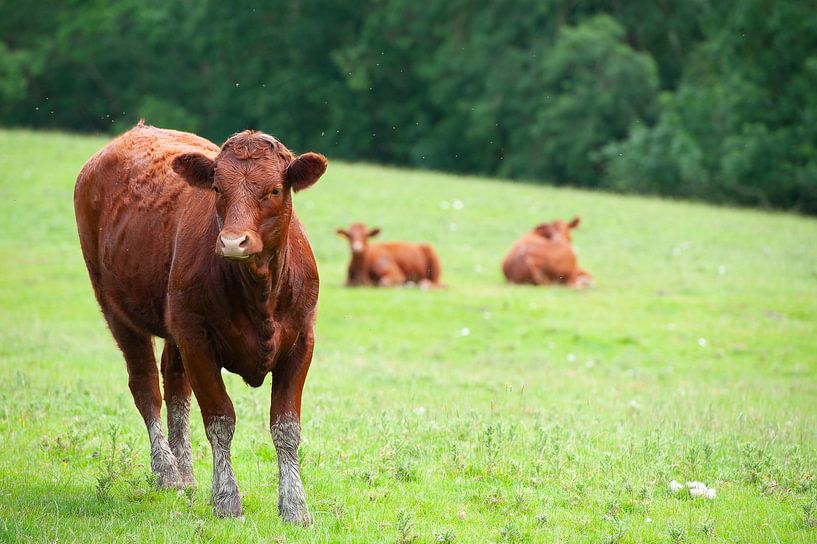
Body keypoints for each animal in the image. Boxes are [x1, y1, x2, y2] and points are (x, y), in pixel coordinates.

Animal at [74, 122, 327, 524]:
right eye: (218, 188)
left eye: (274, 189)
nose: (234, 242)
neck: (259, 293)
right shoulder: (197, 341)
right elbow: (220, 419)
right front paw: (226, 499)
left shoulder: (301, 340)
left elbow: (285, 426)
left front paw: (295, 505)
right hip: (117, 309)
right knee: (146, 386)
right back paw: (167, 471)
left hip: (174, 324)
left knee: (175, 385)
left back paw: (186, 471)